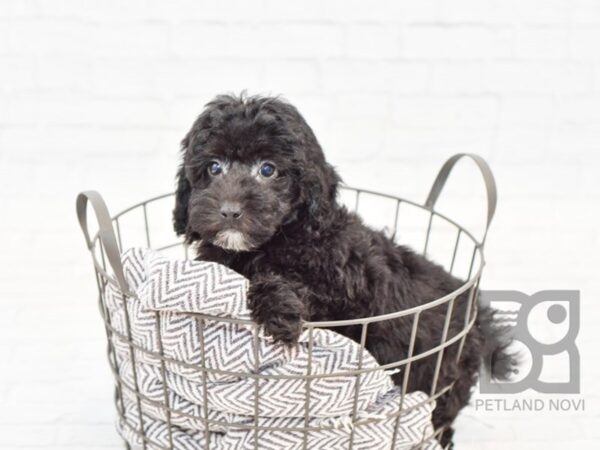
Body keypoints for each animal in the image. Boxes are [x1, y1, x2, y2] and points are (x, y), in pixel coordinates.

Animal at [172, 92, 510, 446]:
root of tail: (478, 317)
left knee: (440, 409)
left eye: (268, 169)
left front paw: (279, 311)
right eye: (213, 167)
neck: (278, 240)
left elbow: (291, 286)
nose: (229, 211)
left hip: (442, 368)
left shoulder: (342, 294)